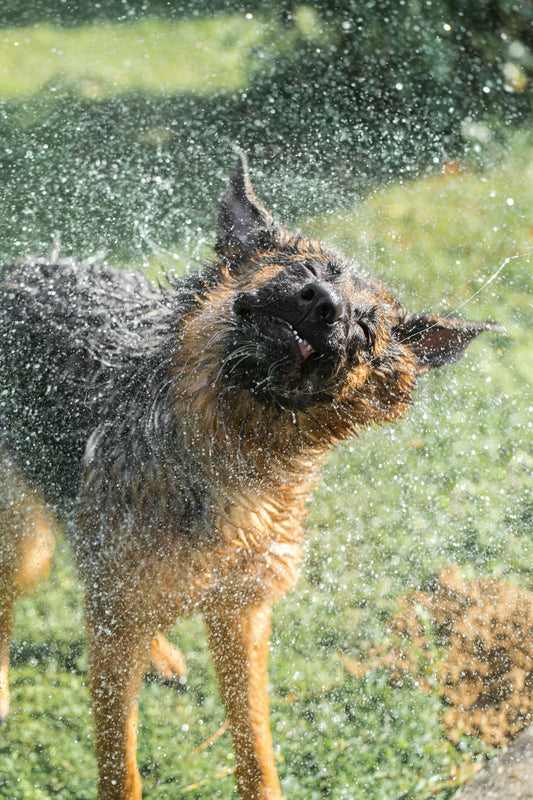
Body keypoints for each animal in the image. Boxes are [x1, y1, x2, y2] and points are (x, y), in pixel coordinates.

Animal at [0, 153, 498, 796]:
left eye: (366, 329)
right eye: (308, 269)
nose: (325, 306)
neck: (232, 452)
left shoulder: (242, 610)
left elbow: (255, 744)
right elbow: (120, 767)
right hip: (25, 541)